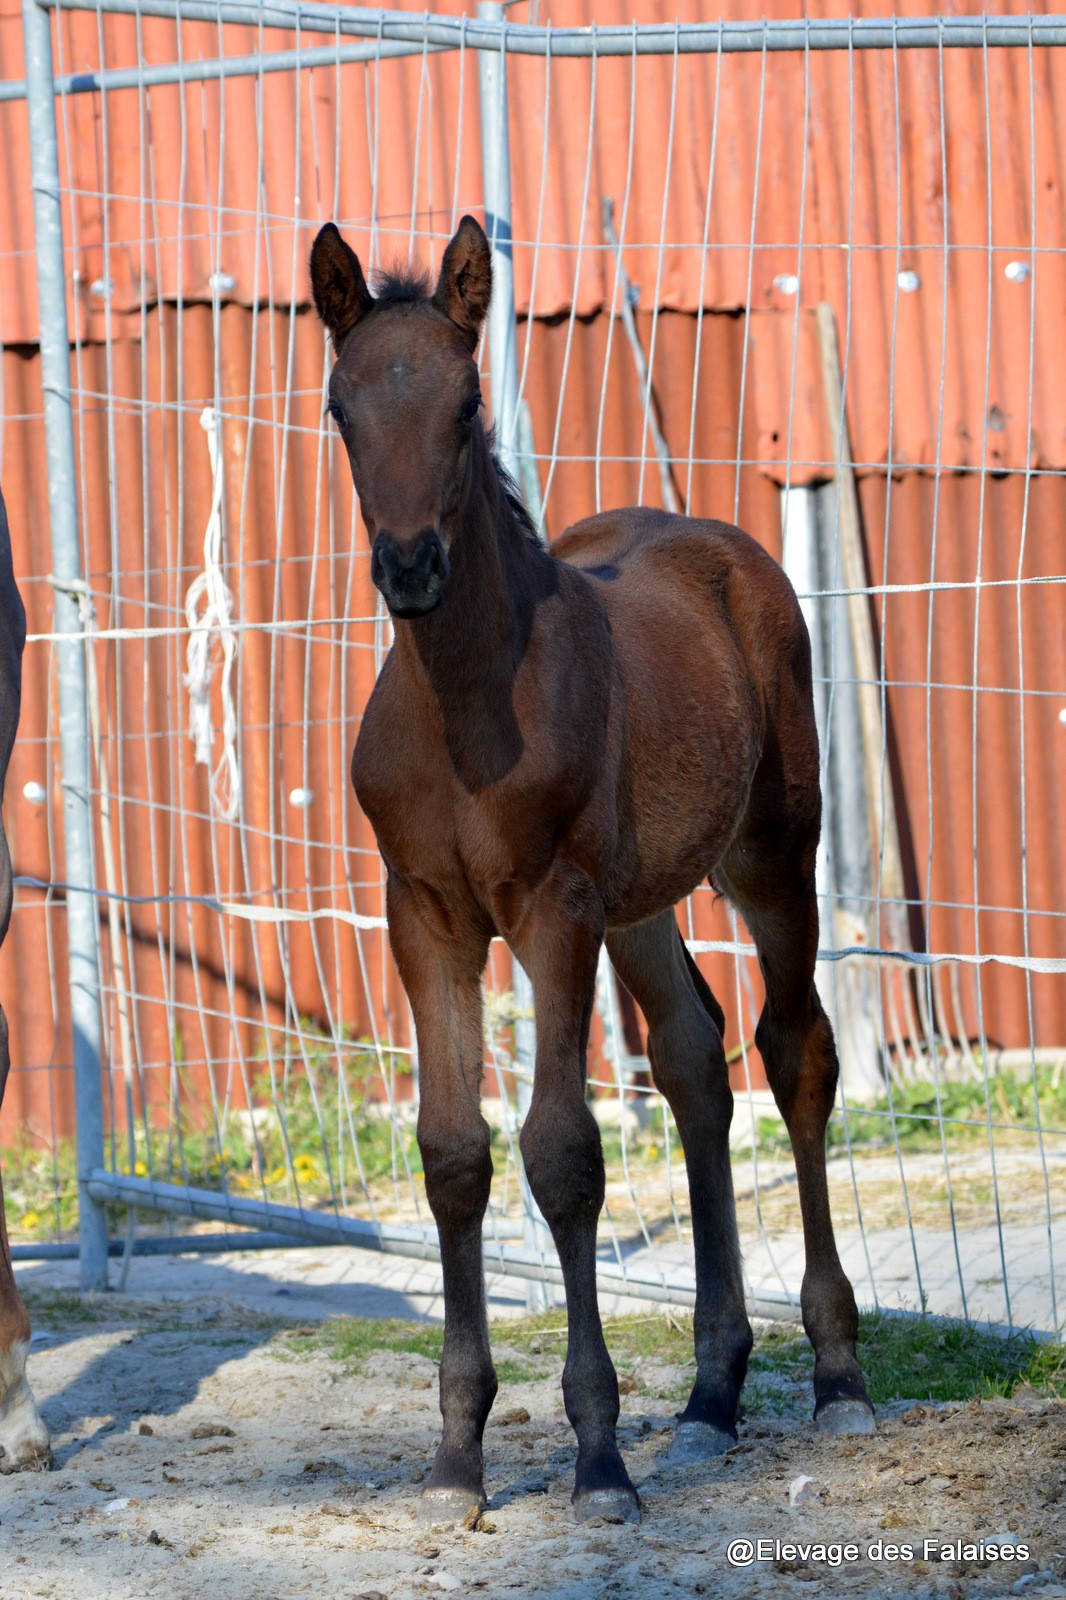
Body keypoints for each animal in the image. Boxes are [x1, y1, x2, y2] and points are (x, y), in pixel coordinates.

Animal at [308, 219, 870, 1516]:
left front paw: (599, 1455)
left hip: (770, 853)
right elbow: (454, 1155)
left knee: (796, 1053)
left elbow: (561, 1154)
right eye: (340, 406)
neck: (463, 707)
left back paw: (835, 1374)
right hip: (641, 903)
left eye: (466, 404)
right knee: (695, 1061)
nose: (408, 568)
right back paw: (710, 1397)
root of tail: (714, 537)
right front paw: (456, 1458)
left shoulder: (551, 911)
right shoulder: (427, 917)